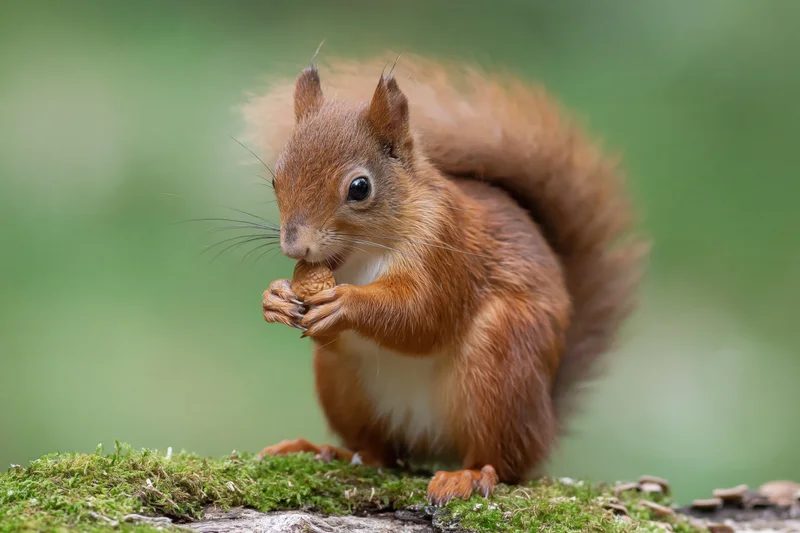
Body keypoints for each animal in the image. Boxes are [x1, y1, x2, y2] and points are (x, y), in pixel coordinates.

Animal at [242, 53, 648, 506]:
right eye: (276, 179)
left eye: (360, 188)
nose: (296, 248)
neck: (362, 256)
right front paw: (274, 298)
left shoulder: (447, 249)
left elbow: (424, 317)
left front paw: (345, 303)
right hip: (342, 384)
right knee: (381, 453)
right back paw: (326, 451)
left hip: (501, 367)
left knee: (505, 460)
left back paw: (468, 474)